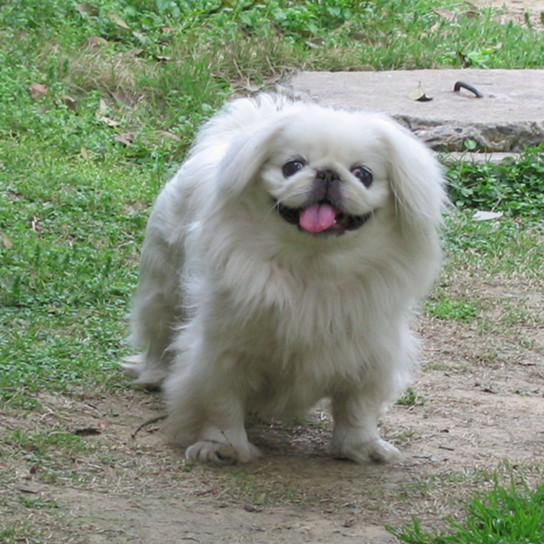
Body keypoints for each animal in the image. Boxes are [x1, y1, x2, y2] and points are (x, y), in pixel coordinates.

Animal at [124, 92, 446, 464]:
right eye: (292, 166)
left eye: (363, 174)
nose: (327, 174)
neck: (312, 269)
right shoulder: (220, 351)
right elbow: (221, 403)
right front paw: (223, 448)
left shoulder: (370, 353)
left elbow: (357, 407)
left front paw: (361, 447)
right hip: (163, 286)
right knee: (159, 335)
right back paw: (155, 374)